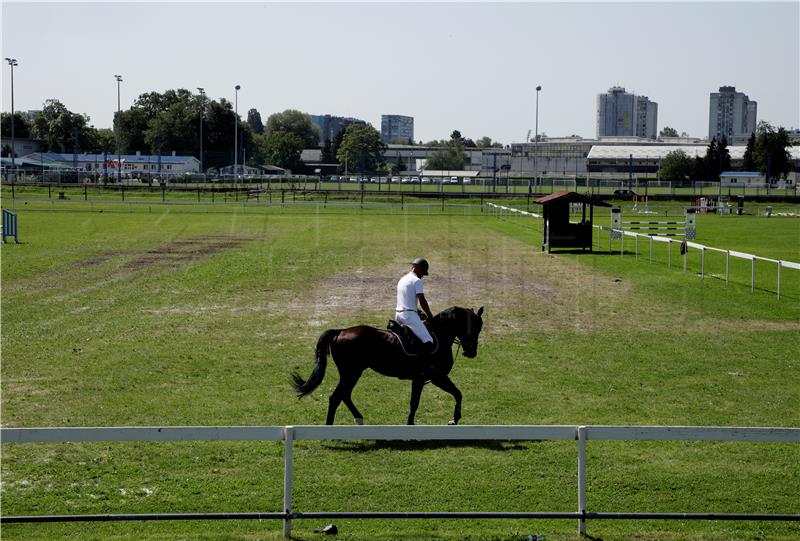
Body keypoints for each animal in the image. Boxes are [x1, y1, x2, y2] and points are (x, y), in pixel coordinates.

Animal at [290, 306, 484, 424]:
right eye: (474, 327)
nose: (471, 353)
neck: (439, 336)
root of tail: (341, 331)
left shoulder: (424, 379)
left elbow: (420, 401)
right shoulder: (434, 377)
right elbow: (453, 394)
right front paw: (454, 419)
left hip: (352, 373)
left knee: (344, 395)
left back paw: (358, 419)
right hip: (352, 373)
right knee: (336, 397)